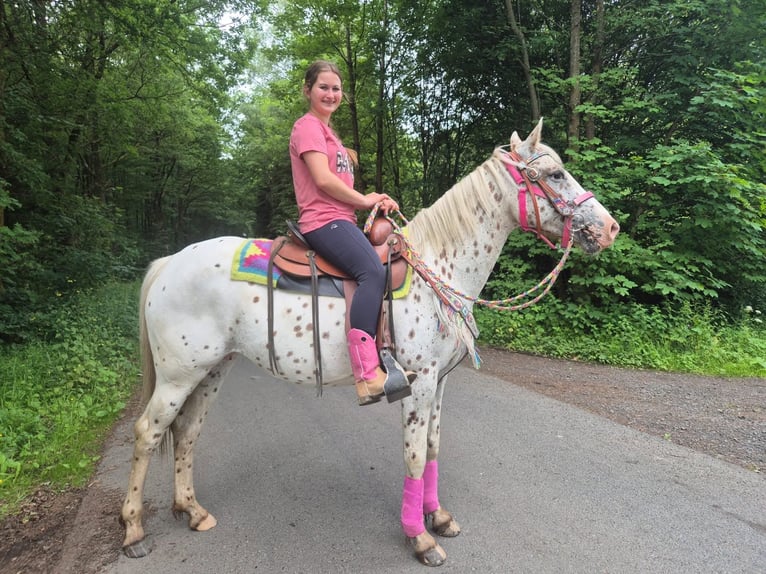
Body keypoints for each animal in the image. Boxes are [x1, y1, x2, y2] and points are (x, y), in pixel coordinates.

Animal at [120, 118, 619, 566]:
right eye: (554, 174)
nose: (610, 228)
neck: (440, 267)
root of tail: (169, 263)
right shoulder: (418, 382)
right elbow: (414, 457)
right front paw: (420, 538)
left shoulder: (440, 383)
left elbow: (433, 448)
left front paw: (438, 518)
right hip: (177, 374)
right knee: (148, 433)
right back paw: (133, 531)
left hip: (213, 368)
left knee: (186, 431)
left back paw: (192, 510)